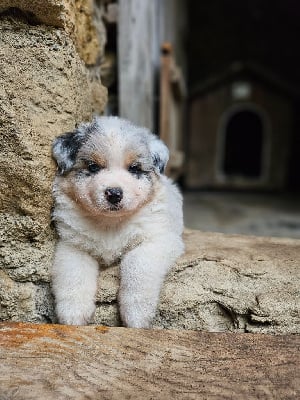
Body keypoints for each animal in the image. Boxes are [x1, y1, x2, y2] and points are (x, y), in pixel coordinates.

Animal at [51, 115, 183, 328]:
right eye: (93, 167)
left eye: (134, 168)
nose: (114, 193)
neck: (110, 224)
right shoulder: (73, 245)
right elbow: (73, 274)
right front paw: (73, 314)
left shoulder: (158, 239)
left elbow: (137, 265)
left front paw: (137, 314)